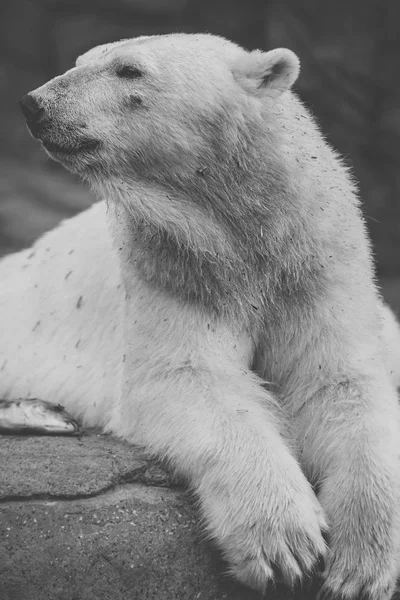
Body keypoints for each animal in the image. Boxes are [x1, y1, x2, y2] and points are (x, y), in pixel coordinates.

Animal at [2, 34, 400, 600]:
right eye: (81, 62)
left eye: (129, 70)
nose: (35, 104)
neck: (245, 236)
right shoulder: (173, 266)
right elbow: (187, 376)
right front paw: (285, 544)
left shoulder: (317, 266)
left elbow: (338, 382)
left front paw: (362, 564)